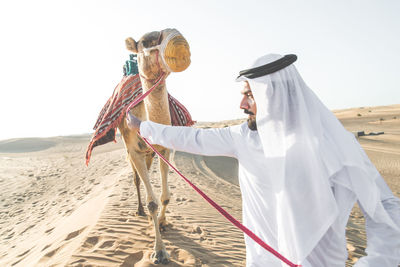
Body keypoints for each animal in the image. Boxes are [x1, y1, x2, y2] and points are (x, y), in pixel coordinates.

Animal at [117, 29, 191, 266]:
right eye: (145, 43)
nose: (178, 40)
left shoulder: (165, 149)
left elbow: (165, 196)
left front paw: (163, 222)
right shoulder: (134, 150)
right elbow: (152, 202)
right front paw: (159, 252)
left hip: (150, 154)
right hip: (132, 152)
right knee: (136, 179)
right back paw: (139, 210)